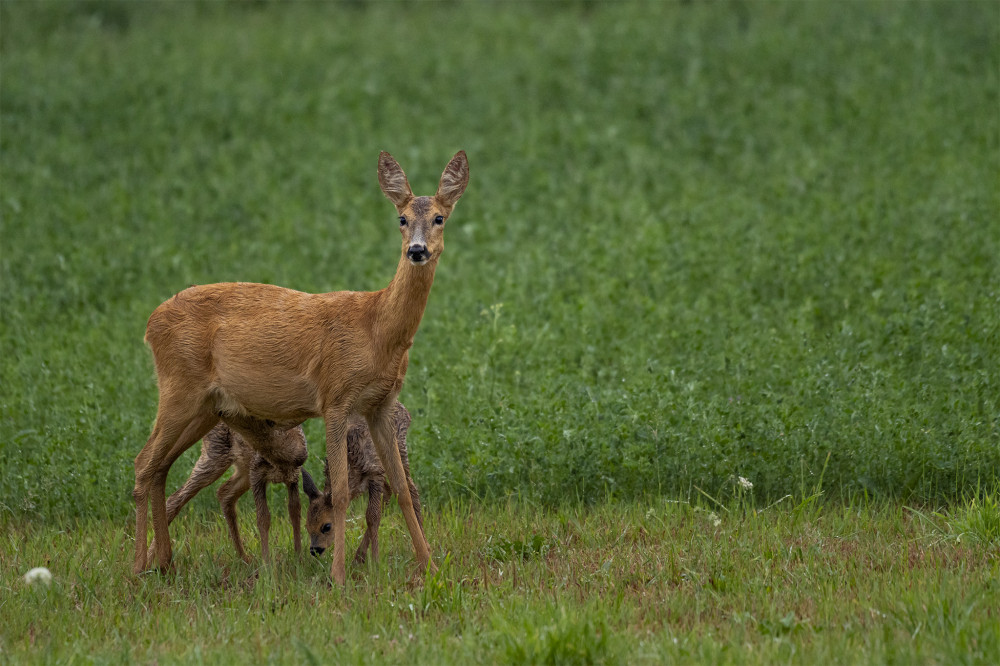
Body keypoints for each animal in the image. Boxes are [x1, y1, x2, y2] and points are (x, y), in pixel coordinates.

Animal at [130, 150, 468, 580]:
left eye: (440, 217)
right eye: (402, 218)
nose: (418, 250)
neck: (375, 328)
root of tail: (149, 324)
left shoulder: (380, 405)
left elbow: (403, 488)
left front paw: (431, 567)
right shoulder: (336, 397)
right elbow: (340, 493)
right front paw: (338, 576)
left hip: (206, 407)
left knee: (159, 467)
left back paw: (164, 562)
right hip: (179, 389)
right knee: (144, 463)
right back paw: (138, 565)